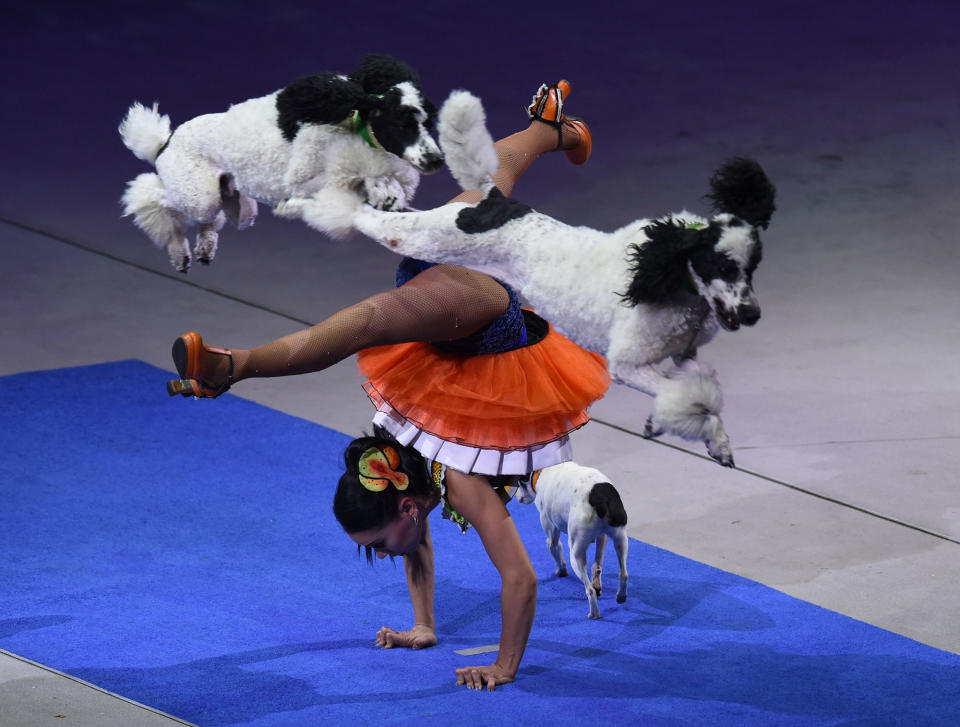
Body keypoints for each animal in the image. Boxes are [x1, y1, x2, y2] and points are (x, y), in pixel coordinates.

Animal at [516, 464, 632, 616]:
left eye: (517, 482)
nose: (516, 497)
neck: (540, 472)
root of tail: (599, 497)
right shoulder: (602, 536)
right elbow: (598, 564)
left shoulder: (551, 535)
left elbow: (556, 550)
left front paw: (561, 572)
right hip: (621, 540)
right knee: (621, 574)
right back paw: (620, 595)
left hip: (576, 556)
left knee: (590, 590)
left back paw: (594, 613)